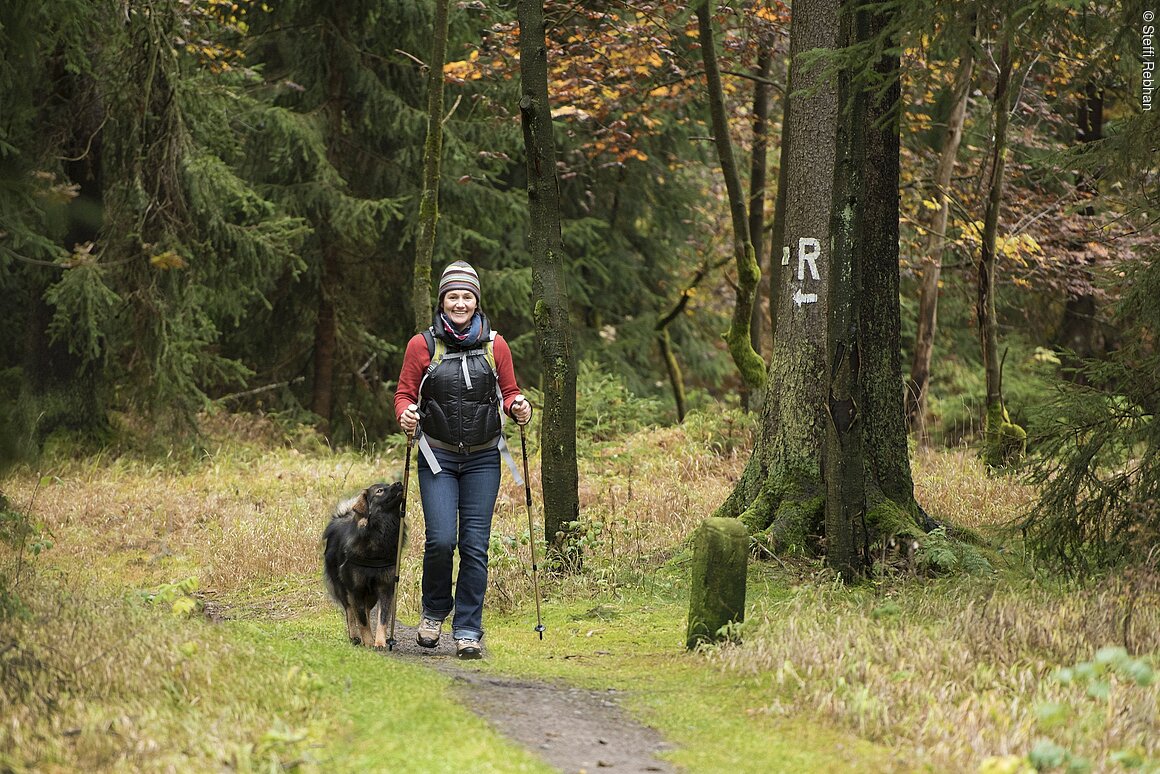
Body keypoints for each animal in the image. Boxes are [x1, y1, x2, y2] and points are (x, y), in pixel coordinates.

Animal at [320, 480, 406, 649]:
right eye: (380, 491)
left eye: (388, 485)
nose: (399, 483)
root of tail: (340, 518)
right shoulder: (356, 589)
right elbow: (361, 619)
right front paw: (368, 641)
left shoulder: (385, 588)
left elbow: (382, 618)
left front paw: (379, 642)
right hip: (343, 588)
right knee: (350, 611)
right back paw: (354, 636)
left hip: (371, 594)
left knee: (364, 610)